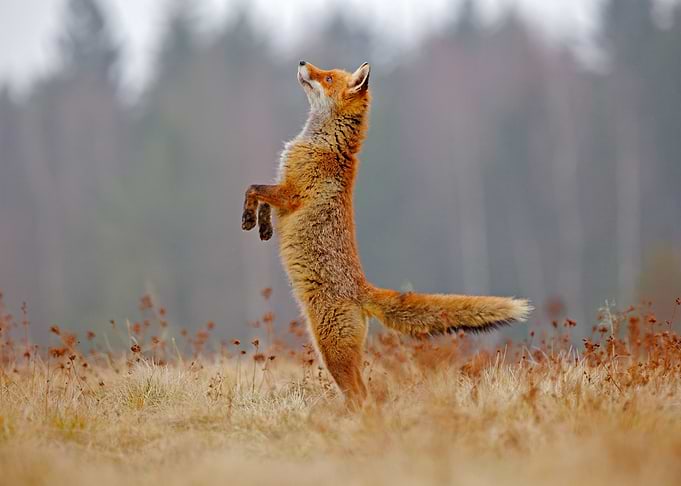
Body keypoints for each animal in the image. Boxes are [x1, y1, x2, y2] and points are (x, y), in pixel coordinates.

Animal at [242, 60, 531, 407]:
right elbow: (263, 201)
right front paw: (263, 226)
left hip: (331, 351)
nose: (301, 63)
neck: (323, 142)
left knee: (361, 396)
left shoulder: (291, 193)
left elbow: (253, 188)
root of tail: (362, 288)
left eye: (328, 77)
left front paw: (248, 218)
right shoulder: (283, 191)